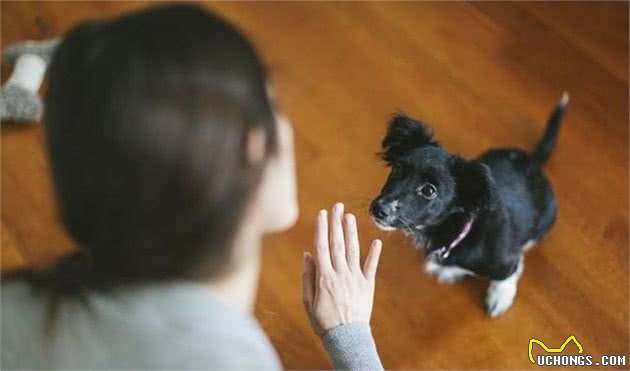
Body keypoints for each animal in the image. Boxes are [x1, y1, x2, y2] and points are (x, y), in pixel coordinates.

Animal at [372, 93, 572, 316]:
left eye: (429, 190)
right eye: (397, 168)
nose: (379, 209)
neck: (457, 231)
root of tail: (532, 161)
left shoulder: (505, 261)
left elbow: (508, 274)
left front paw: (500, 297)